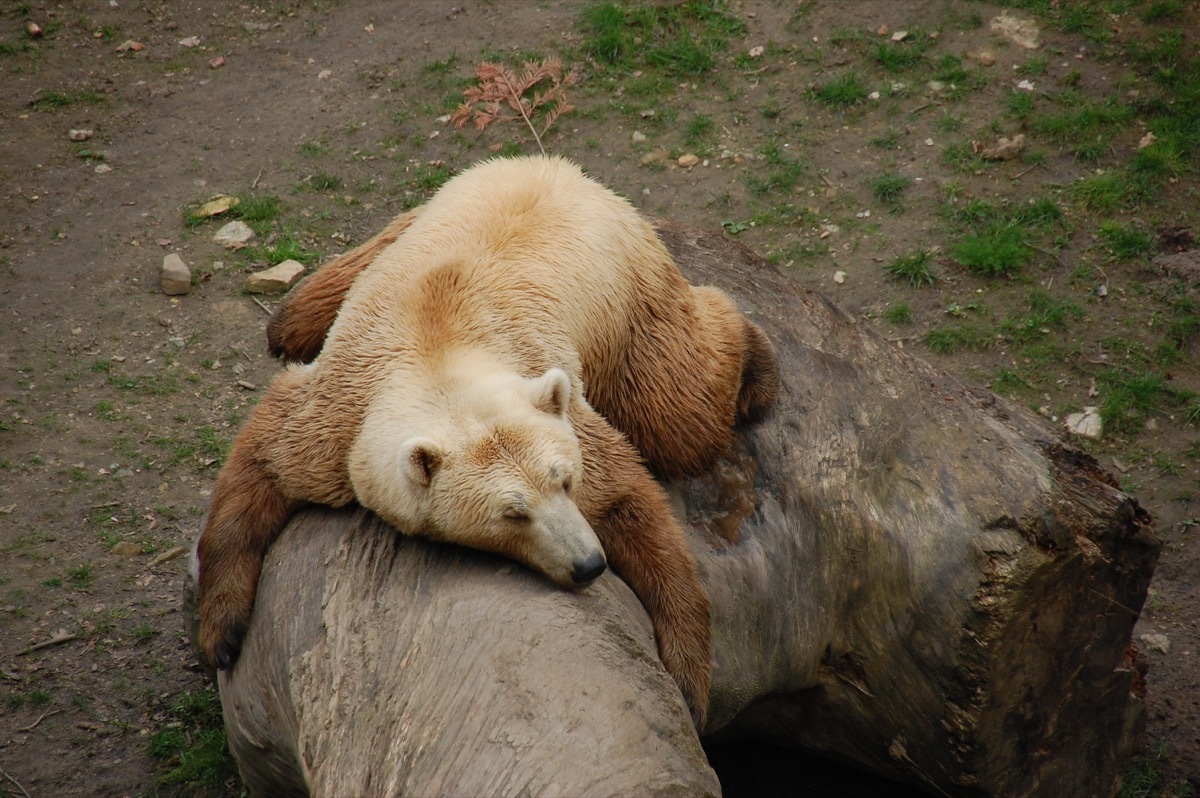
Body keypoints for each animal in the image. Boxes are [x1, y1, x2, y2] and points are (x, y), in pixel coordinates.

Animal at [198, 155, 780, 727]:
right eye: (513, 512)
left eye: (565, 481)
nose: (589, 564)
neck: (437, 346)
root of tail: (559, 166)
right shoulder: (342, 411)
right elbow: (264, 459)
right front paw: (223, 630)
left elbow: (623, 493)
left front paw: (686, 670)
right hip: (415, 219)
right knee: (314, 302)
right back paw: (287, 318)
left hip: (628, 304)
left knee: (680, 408)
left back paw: (758, 369)